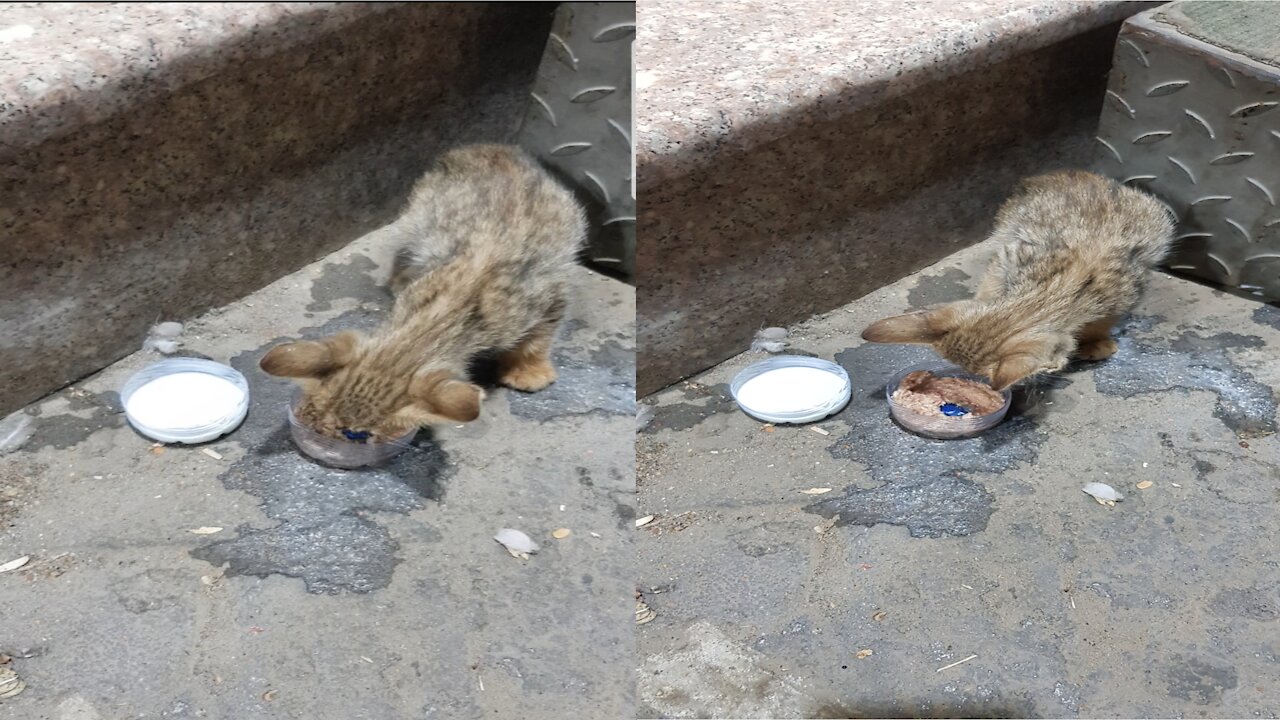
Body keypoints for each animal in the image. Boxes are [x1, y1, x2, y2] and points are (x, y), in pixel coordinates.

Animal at [261, 143, 588, 440]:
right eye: (314, 412)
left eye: (356, 435)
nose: (317, 433)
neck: (454, 303)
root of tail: (490, 148)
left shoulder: (551, 293)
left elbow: (538, 339)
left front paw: (530, 370)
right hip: (418, 219)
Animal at [860, 170, 1172, 389]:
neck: (1058, 287)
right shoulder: (1007, 256)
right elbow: (990, 287)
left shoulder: (1130, 292)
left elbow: (1102, 321)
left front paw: (1095, 340)